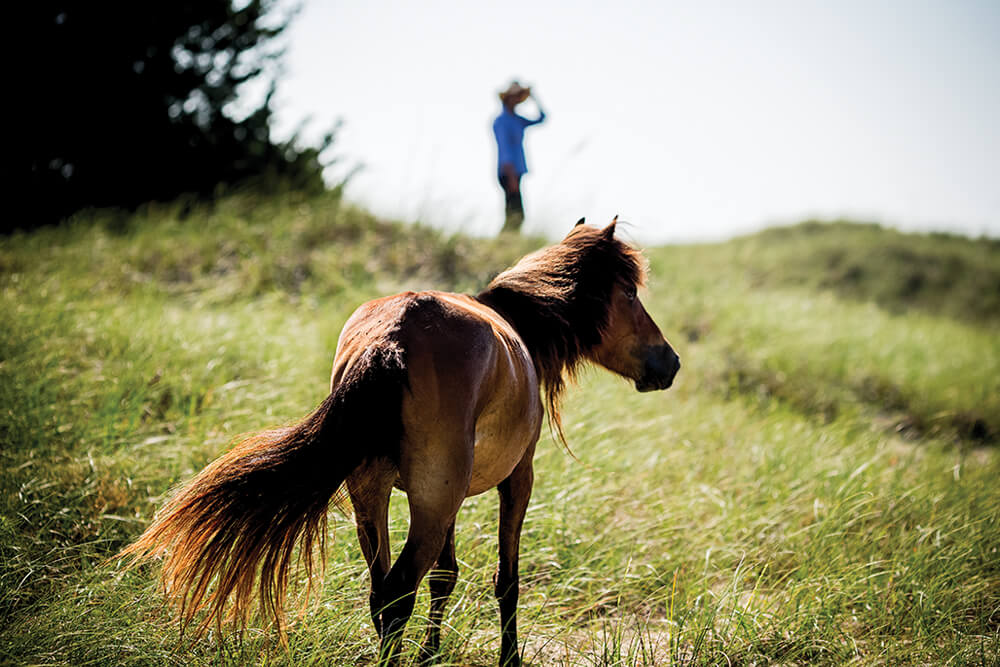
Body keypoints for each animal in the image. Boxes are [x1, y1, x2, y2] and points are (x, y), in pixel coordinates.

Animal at [119, 218, 680, 666]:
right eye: (630, 294)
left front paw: (430, 656)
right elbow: (506, 580)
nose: (669, 362)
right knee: (398, 593)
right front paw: (508, 658)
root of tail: (393, 335)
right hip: (430, 502)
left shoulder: (448, 499)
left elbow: (445, 576)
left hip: (376, 498)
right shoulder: (517, 479)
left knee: (384, 597)